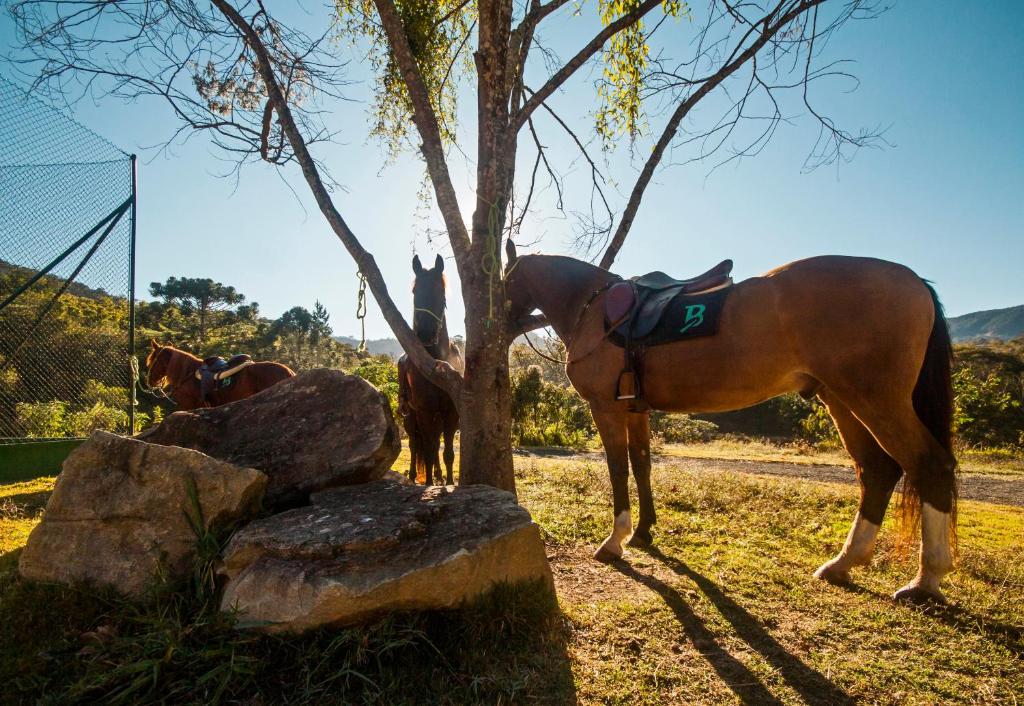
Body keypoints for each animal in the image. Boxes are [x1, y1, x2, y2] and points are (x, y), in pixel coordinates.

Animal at [397, 253, 462, 483]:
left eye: (441, 291)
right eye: (415, 291)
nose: (425, 333)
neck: (436, 364)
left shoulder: (451, 413)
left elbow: (447, 453)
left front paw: (448, 482)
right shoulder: (425, 412)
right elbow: (427, 449)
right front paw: (429, 483)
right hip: (411, 418)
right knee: (416, 445)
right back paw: (414, 475)